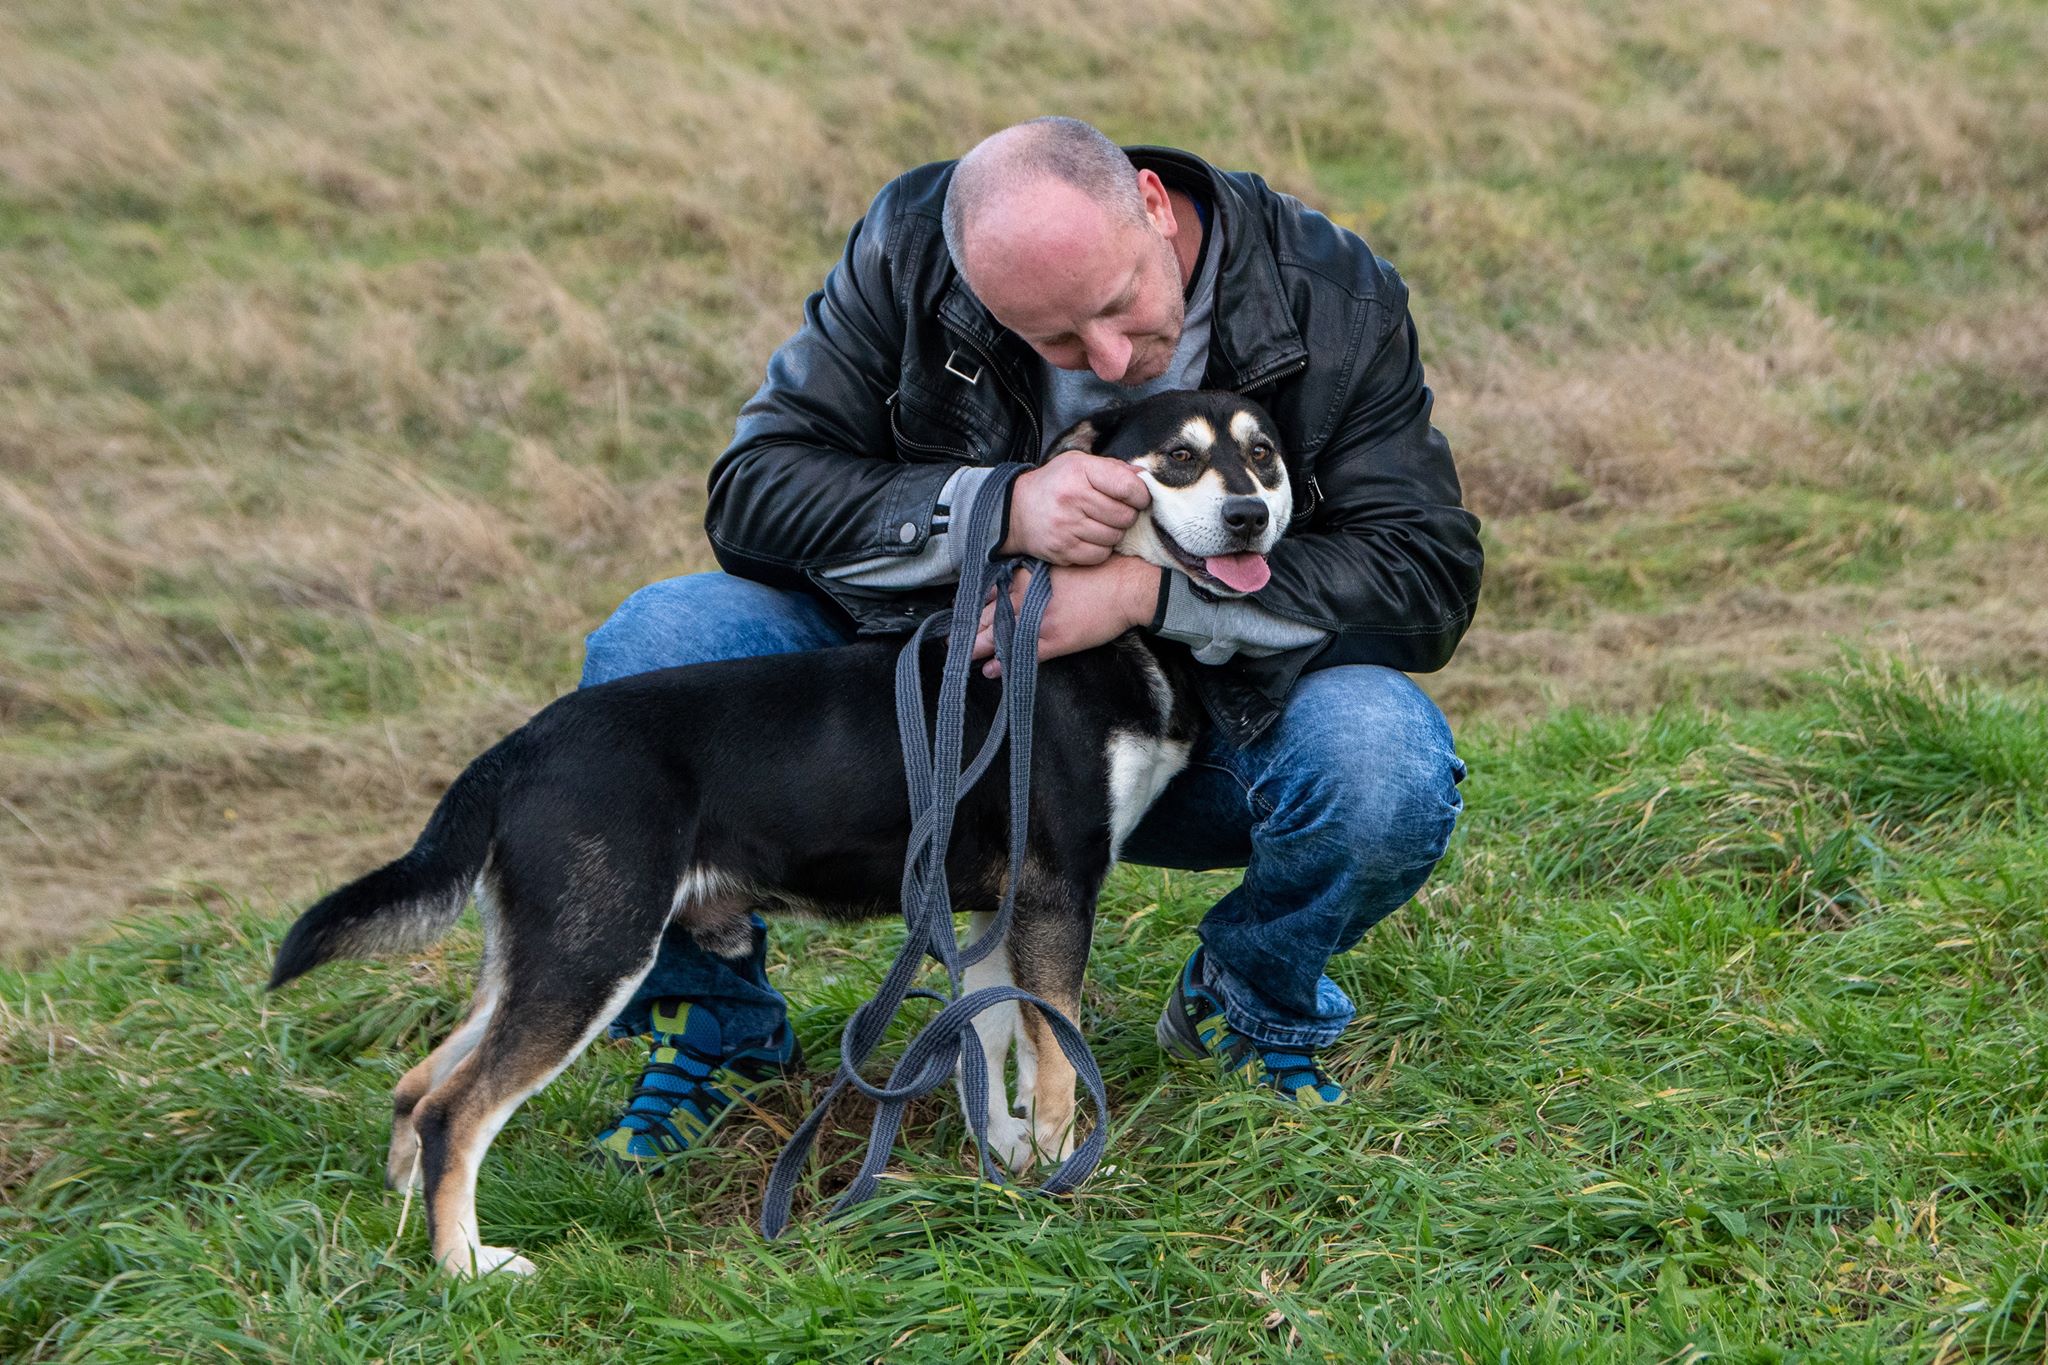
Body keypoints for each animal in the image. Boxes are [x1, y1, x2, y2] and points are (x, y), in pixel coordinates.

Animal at [267, 389, 1293, 1277]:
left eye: (1264, 454)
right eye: (1179, 457)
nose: (1249, 517)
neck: (1100, 638)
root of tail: (516, 748)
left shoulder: (998, 908)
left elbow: (991, 1035)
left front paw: (1005, 1160)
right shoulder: (1056, 893)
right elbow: (1055, 1059)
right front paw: (1067, 1168)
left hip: (544, 948)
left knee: (419, 1086)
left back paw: (409, 1221)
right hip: (595, 950)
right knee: (457, 1111)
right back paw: (469, 1267)